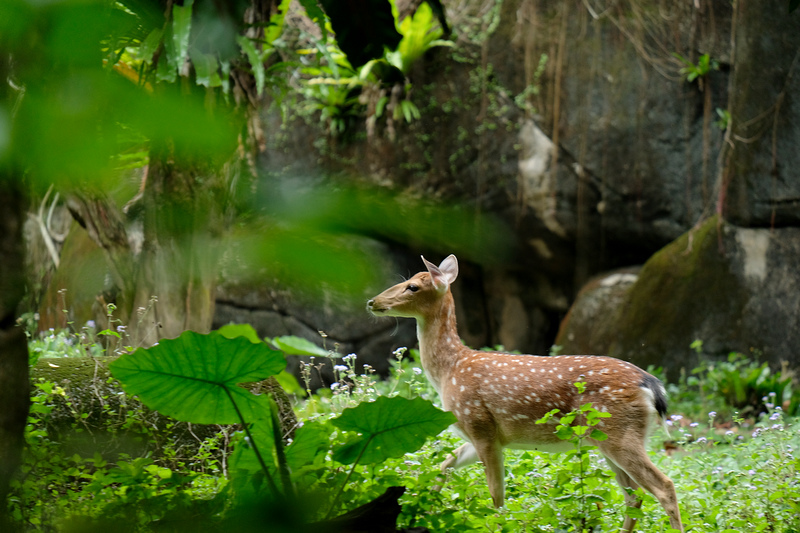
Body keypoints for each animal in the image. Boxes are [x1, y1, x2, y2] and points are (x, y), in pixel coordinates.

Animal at [368, 256, 680, 528]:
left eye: (412, 286)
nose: (373, 302)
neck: (450, 370)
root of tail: (651, 385)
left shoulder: (480, 425)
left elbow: (496, 495)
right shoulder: (482, 435)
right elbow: (444, 466)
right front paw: (420, 507)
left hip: (618, 432)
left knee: (663, 486)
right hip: (607, 438)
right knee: (634, 496)